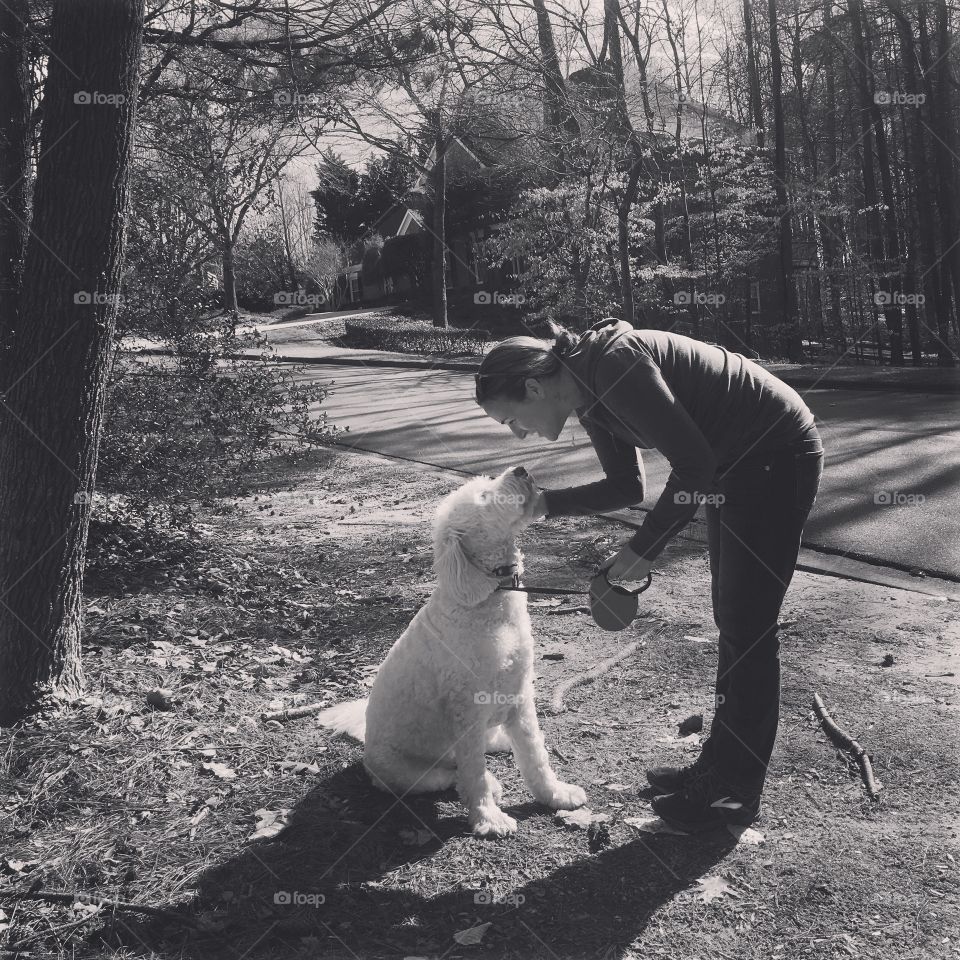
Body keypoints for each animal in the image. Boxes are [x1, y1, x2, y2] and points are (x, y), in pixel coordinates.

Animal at [316, 468, 584, 836]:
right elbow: (472, 773)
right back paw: (487, 783)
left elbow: (535, 755)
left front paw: (556, 794)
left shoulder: (520, 695)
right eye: (484, 497)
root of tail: (366, 746)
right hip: (404, 773)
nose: (521, 470)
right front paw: (488, 818)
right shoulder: (467, 710)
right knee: (449, 774)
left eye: (488, 482)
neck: (489, 601)